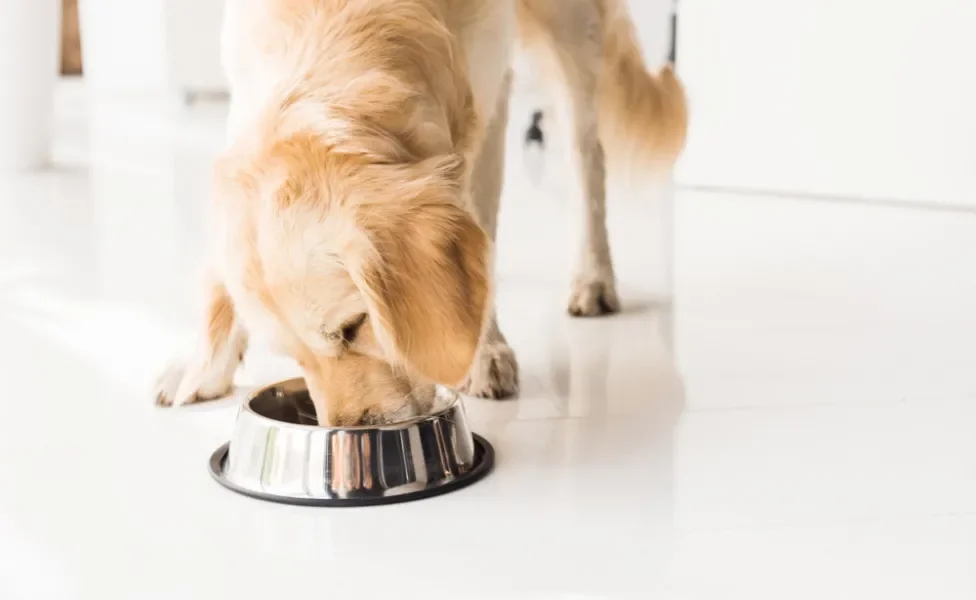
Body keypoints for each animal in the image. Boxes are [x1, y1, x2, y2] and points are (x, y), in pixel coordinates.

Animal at [154, 0, 688, 426]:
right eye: (292, 355)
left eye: (354, 327)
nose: (352, 431)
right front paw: (202, 366)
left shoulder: (483, 99)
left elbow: (481, 224)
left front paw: (483, 352)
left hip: (572, 30)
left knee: (587, 156)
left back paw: (593, 278)